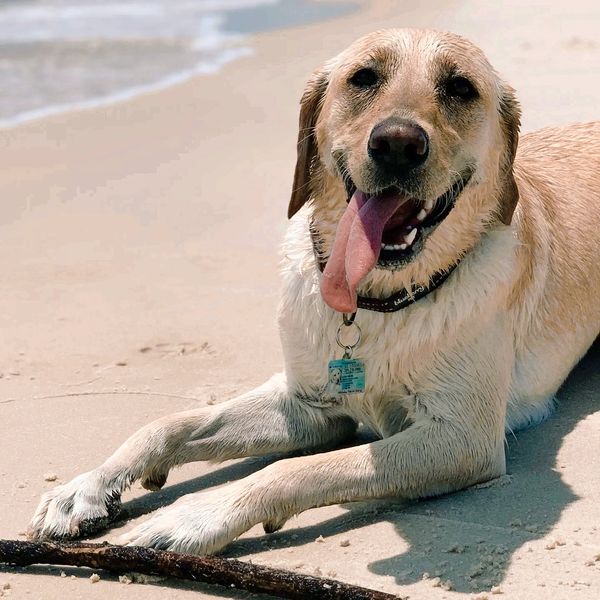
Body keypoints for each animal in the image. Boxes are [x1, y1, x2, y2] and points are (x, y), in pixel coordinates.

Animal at [30, 28, 600, 552]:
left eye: (460, 87)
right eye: (363, 77)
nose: (397, 144)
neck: (373, 303)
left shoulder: (462, 437)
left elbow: (298, 469)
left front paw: (196, 515)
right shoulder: (307, 404)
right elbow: (168, 424)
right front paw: (86, 487)